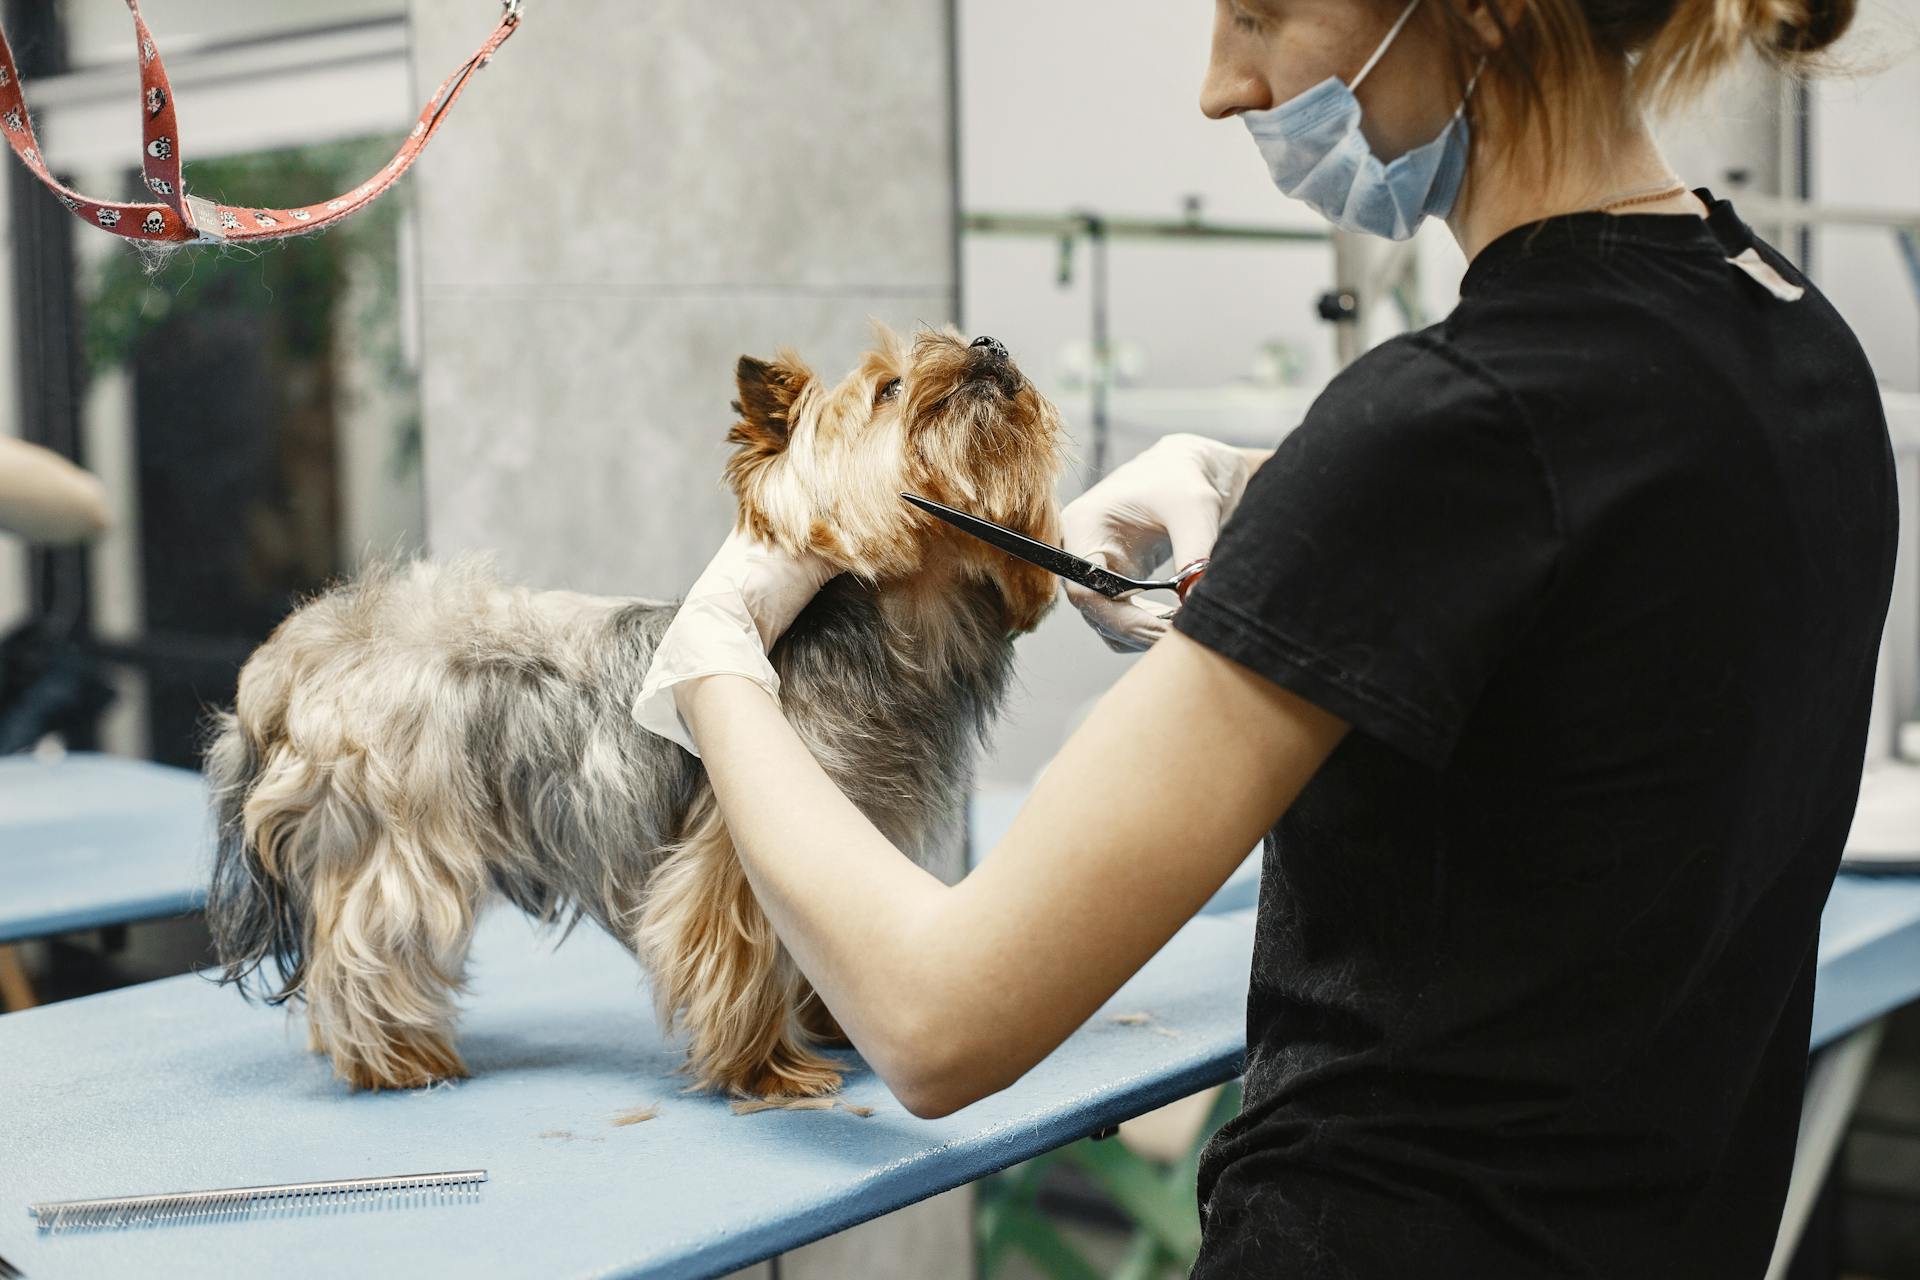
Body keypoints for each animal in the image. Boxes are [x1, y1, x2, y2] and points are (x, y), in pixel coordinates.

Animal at [206, 326, 1067, 1097]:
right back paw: (396, 1059)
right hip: (398, 833)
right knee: (368, 937)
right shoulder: (737, 853)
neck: (900, 628)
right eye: (890, 389)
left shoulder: (856, 833)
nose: (990, 344)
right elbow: (742, 947)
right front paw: (767, 1071)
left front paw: (835, 1021)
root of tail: (300, 653)